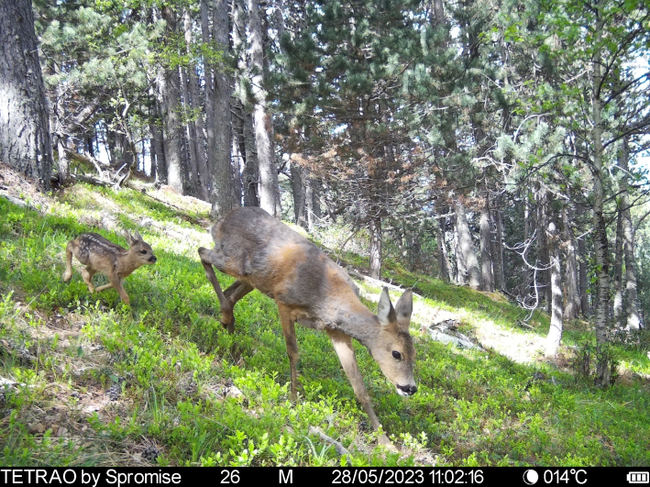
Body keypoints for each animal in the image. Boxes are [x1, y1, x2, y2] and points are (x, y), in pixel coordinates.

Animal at [196, 207, 416, 438]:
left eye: (415, 353)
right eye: (396, 353)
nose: (410, 388)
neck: (328, 300)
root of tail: (221, 220)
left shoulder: (337, 331)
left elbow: (358, 384)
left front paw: (383, 438)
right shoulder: (284, 302)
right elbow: (293, 352)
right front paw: (293, 399)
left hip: (254, 278)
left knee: (229, 293)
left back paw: (229, 335)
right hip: (234, 259)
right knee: (202, 252)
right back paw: (226, 319)